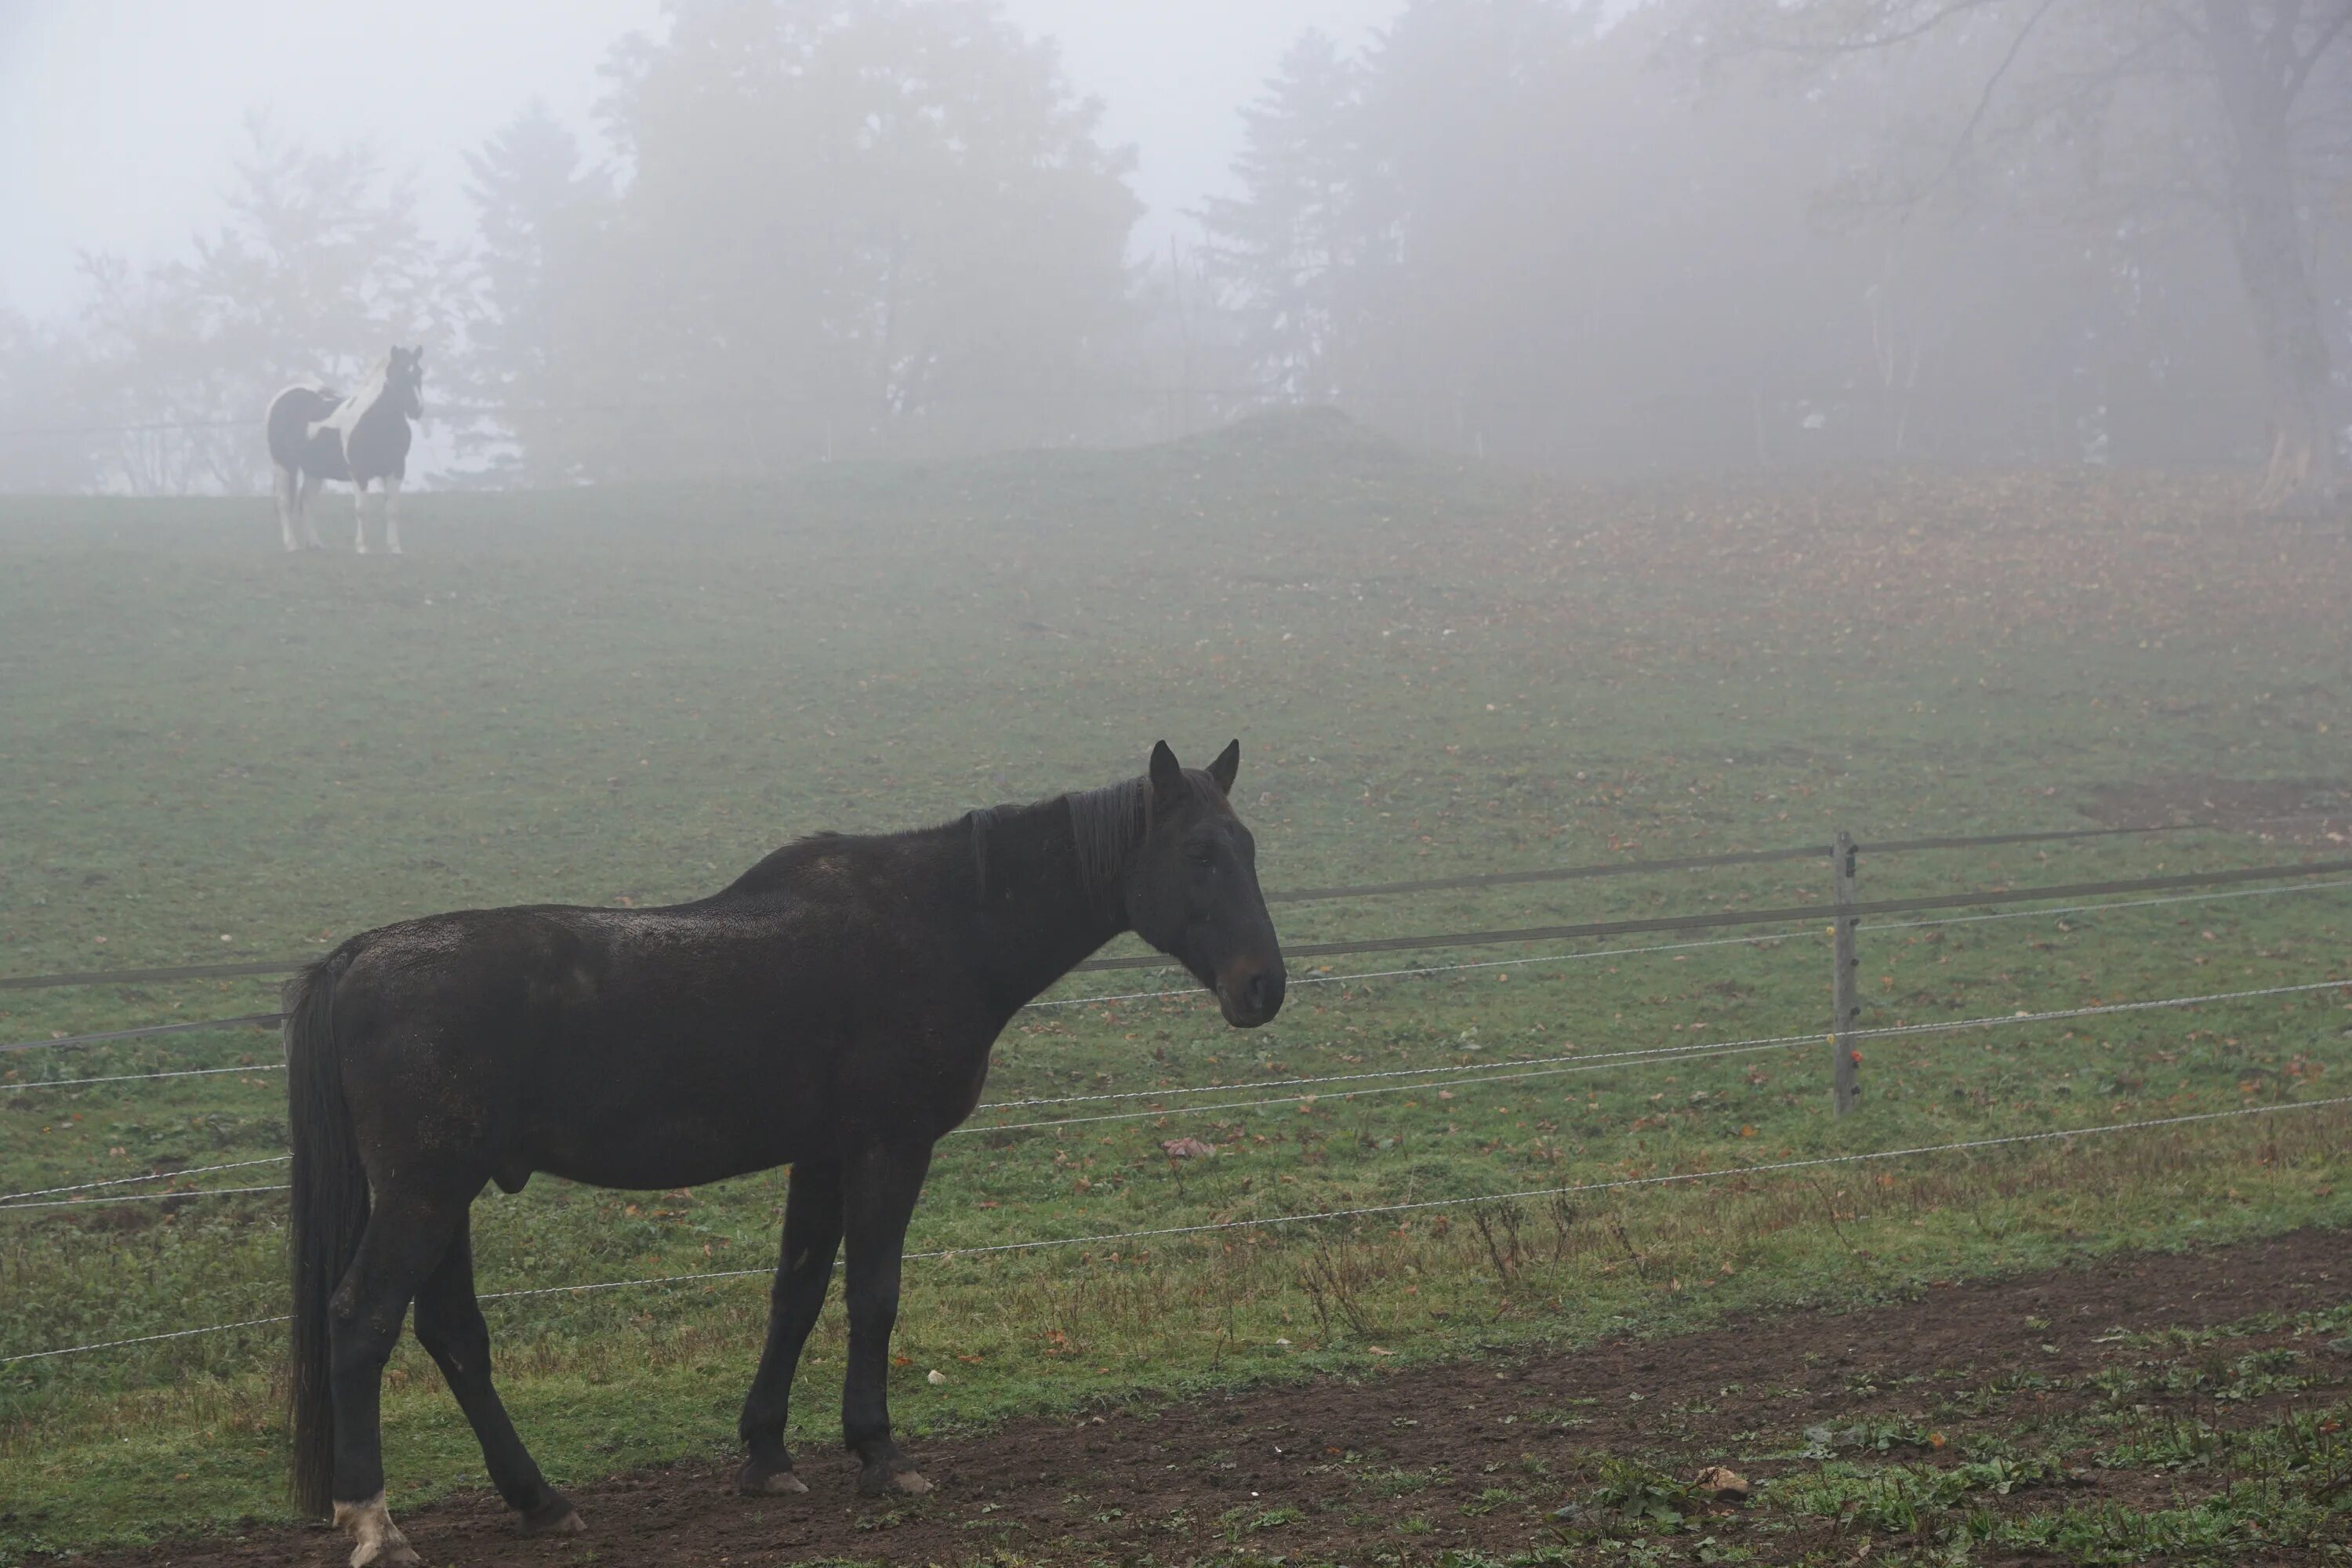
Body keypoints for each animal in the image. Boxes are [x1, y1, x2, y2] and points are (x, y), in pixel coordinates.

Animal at [268, 345, 428, 554]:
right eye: (400, 374)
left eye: (419, 372)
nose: (417, 409)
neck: (376, 421)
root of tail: (281, 398)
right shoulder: (359, 473)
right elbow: (361, 509)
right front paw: (362, 547)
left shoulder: (396, 470)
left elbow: (392, 510)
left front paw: (395, 548)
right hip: (283, 464)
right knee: (284, 503)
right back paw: (291, 545)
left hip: (315, 471)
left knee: (307, 503)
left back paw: (316, 544)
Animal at [294, 742, 1298, 1561]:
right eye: (1200, 854)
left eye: (1251, 847)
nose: (1264, 986)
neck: (940, 919)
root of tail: (359, 957)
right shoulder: (888, 1146)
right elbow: (872, 1293)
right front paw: (879, 1449)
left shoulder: (820, 1155)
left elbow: (798, 1293)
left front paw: (768, 1452)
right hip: (424, 1191)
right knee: (362, 1319)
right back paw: (375, 1522)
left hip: (446, 1195)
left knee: (454, 1336)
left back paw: (539, 1499)